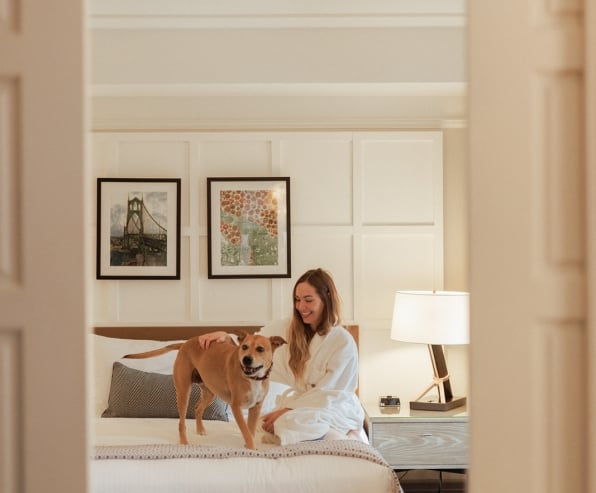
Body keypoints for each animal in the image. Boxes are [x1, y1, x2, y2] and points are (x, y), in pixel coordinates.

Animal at [124, 332, 286, 450]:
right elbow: (245, 431)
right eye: (244, 347)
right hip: (183, 391)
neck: (253, 378)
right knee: (181, 423)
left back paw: (200, 429)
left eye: (260, 349)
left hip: (210, 392)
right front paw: (252, 448)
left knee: (197, 408)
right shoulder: (236, 407)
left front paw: (249, 446)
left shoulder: (255, 408)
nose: (246, 359)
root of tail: (185, 343)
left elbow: (250, 431)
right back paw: (184, 442)